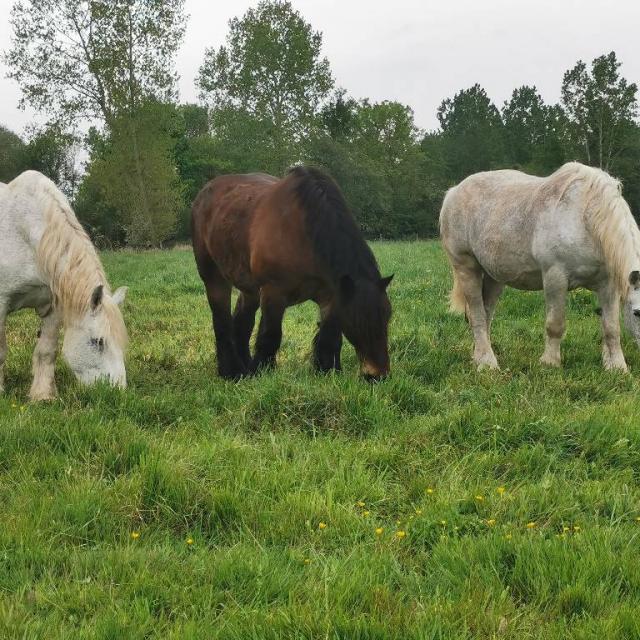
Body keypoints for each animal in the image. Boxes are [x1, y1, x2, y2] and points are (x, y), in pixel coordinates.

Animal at [0, 171, 129, 400]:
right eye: (98, 342)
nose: (117, 392)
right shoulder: (1, 301)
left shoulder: (54, 306)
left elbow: (46, 350)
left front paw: (42, 395)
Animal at [190, 165, 392, 380]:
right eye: (357, 321)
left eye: (387, 316)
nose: (378, 375)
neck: (303, 232)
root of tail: (203, 195)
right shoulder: (273, 292)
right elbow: (270, 335)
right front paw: (263, 371)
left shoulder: (331, 296)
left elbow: (329, 338)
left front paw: (327, 370)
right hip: (214, 278)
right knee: (222, 322)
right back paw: (232, 371)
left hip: (249, 288)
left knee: (242, 324)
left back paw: (244, 367)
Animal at [442, 161, 640, 370]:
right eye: (637, 313)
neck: (585, 219)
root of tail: (453, 192)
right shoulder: (555, 277)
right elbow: (555, 324)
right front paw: (550, 362)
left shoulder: (608, 286)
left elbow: (611, 327)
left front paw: (617, 367)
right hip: (466, 266)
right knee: (477, 314)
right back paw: (488, 363)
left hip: (494, 276)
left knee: (486, 313)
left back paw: (479, 357)